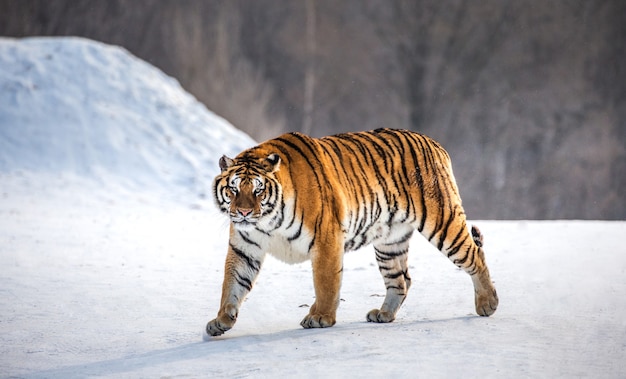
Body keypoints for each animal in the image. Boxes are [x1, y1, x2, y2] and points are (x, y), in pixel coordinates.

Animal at [205, 128, 498, 338]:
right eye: (233, 189)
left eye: (258, 190)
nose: (243, 212)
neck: (266, 222)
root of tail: (435, 143)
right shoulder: (245, 248)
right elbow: (232, 284)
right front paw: (221, 321)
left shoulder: (326, 239)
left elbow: (325, 283)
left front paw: (320, 317)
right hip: (389, 242)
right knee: (401, 280)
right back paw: (383, 314)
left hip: (442, 222)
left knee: (474, 255)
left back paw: (488, 303)